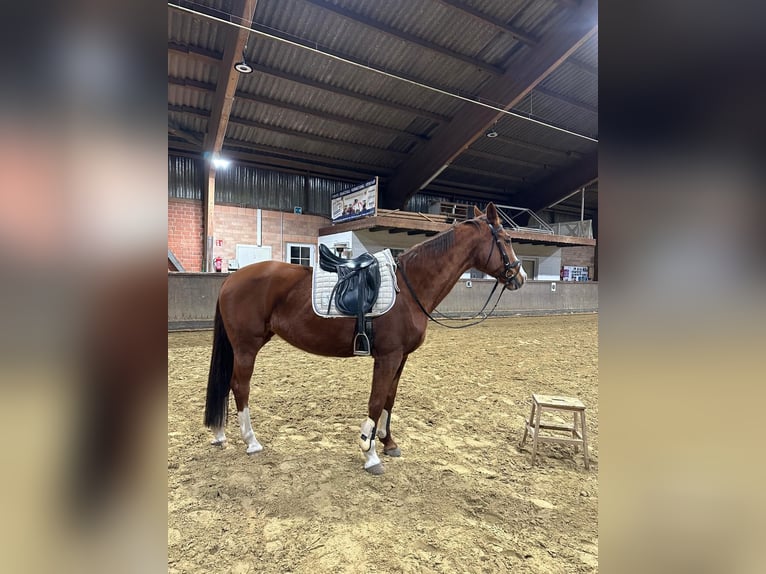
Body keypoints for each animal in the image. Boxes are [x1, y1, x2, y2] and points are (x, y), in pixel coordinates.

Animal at [204, 205, 528, 474]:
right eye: (506, 239)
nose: (520, 277)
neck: (408, 288)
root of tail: (230, 280)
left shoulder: (400, 358)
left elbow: (389, 399)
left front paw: (388, 443)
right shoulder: (387, 356)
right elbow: (375, 400)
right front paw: (369, 452)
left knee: (227, 385)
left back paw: (220, 434)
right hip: (247, 347)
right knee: (240, 387)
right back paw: (251, 441)